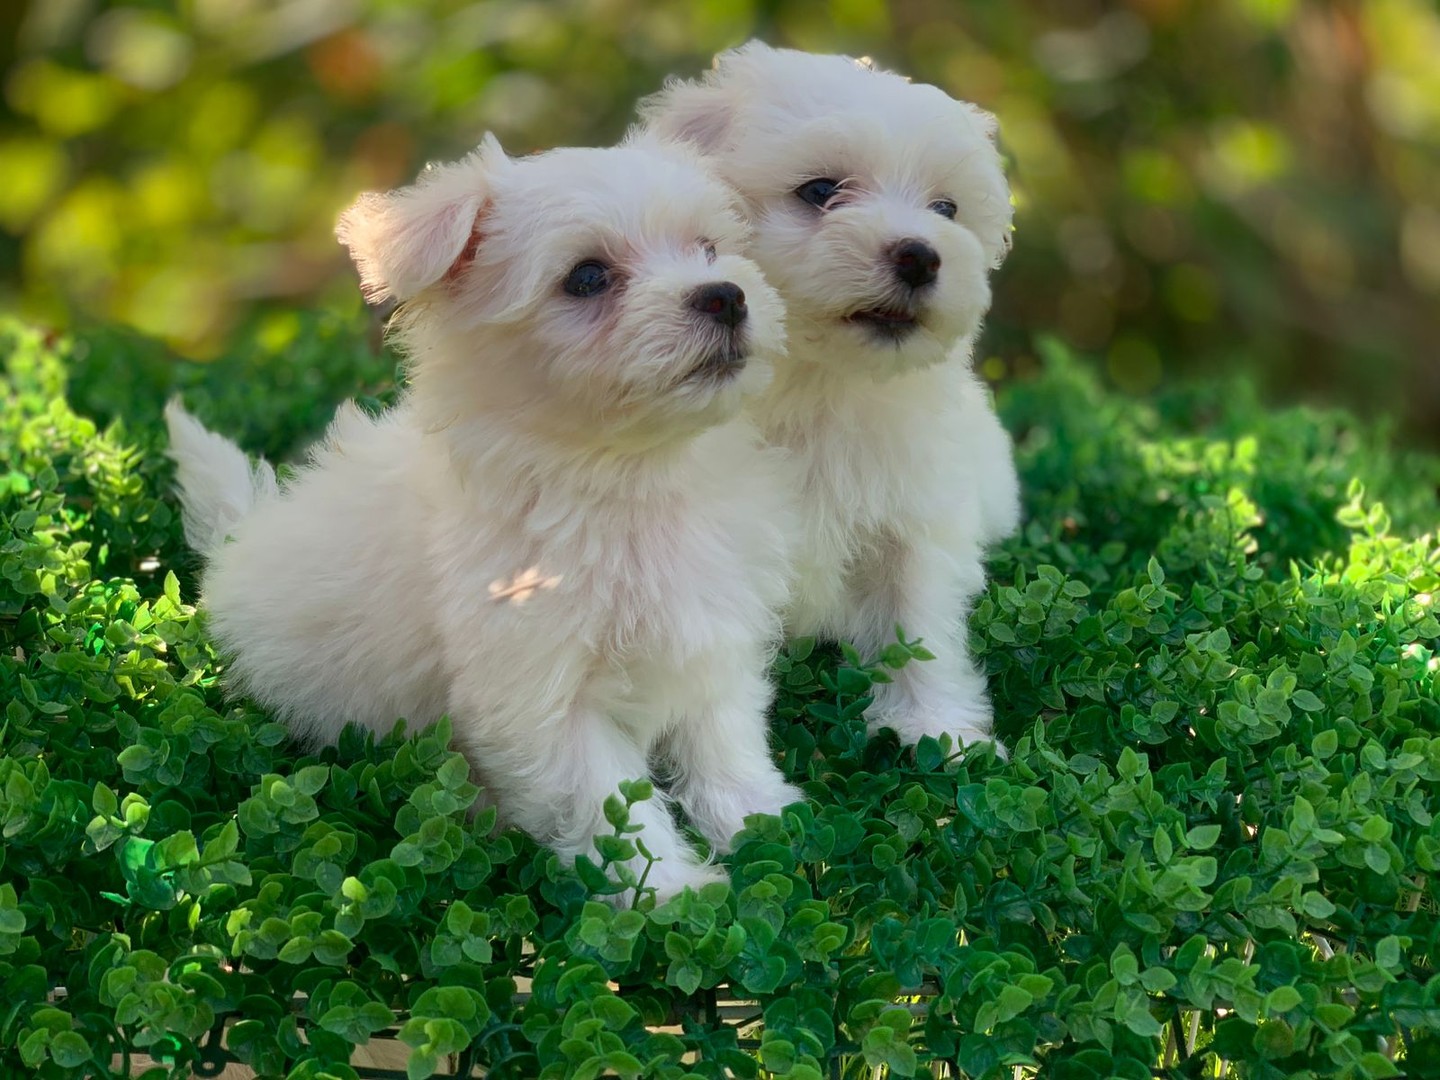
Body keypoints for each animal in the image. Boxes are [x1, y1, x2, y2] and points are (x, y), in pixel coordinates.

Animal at [165, 131, 812, 898]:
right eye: (587, 277)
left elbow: (723, 736)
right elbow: (608, 804)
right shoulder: (539, 695)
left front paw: (761, 817)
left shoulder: (713, 631)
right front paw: (669, 892)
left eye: (709, 248)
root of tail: (244, 537)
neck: (629, 480)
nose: (725, 295)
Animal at [642, 42, 1025, 754]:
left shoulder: (914, 508)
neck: (822, 384)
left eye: (947, 210)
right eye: (821, 192)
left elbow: (917, 617)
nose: (920, 255)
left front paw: (936, 726)